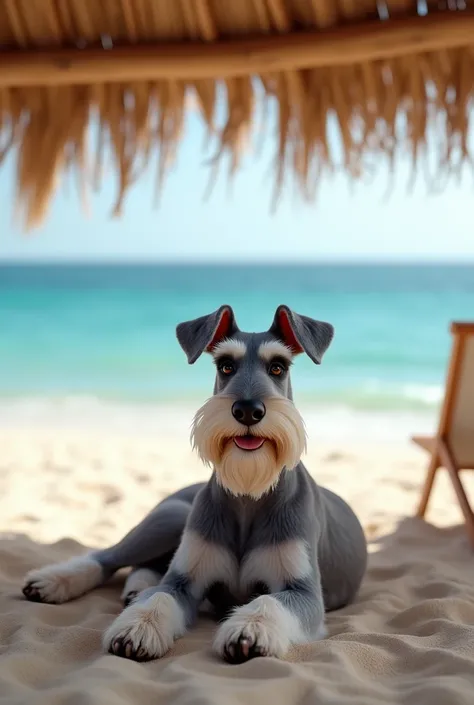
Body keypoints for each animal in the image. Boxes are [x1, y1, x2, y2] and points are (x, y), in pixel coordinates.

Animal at [22, 306, 368, 664]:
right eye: (225, 365)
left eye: (278, 367)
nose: (248, 410)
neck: (248, 496)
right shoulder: (183, 582)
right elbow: (159, 597)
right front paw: (138, 628)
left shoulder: (303, 592)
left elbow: (267, 601)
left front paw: (249, 630)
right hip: (167, 519)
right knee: (106, 557)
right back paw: (53, 580)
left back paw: (133, 587)